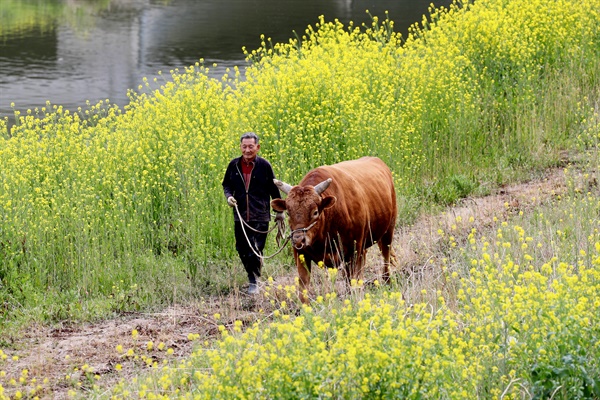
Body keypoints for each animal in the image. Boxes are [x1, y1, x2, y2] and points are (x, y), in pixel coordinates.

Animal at [274, 156, 398, 300]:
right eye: (288, 212)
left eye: (315, 212)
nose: (299, 240)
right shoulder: (300, 254)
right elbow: (303, 287)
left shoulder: (351, 251)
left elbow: (350, 282)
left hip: (388, 231)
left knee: (385, 257)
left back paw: (387, 282)